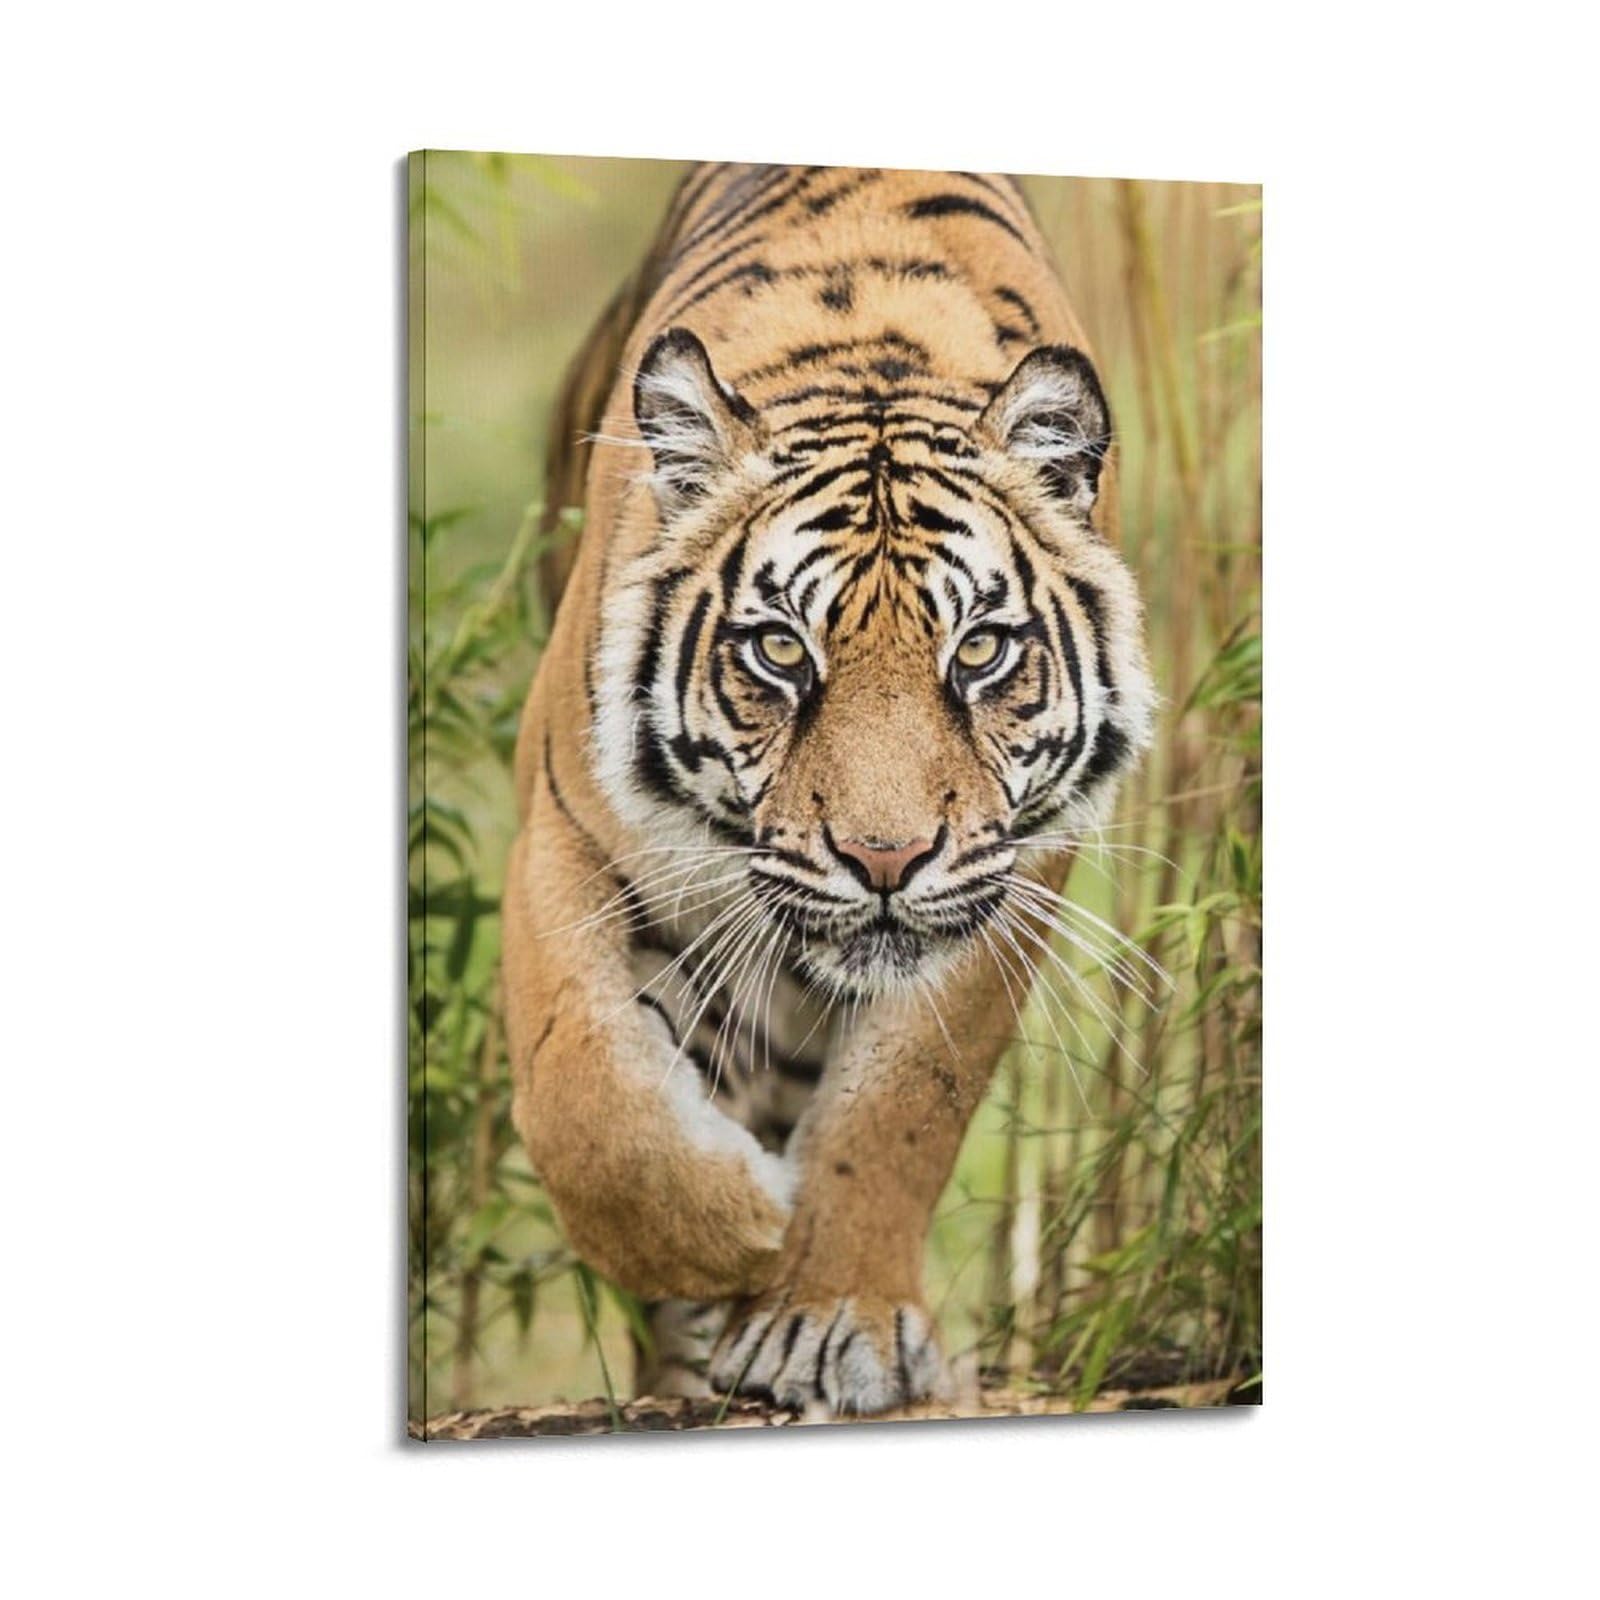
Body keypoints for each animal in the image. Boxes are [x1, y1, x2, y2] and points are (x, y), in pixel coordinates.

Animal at [502, 162, 1155, 1415]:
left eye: (980, 650)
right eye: (779, 650)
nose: (884, 860)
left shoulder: (1008, 878)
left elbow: (900, 1105)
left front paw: (822, 1313)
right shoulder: (563, 826)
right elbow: (587, 1093)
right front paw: (733, 1230)